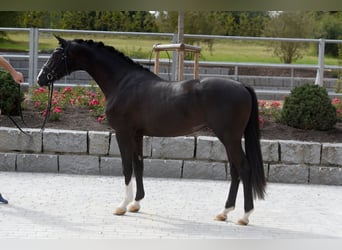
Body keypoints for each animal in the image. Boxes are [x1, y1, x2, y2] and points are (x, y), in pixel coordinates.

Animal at [38, 35, 268, 225]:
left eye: (57, 55)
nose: (41, 78)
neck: (122, 83)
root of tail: (242, 86)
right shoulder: (137, 134)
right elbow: (139, 165)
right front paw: (136, 204)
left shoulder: (123, 133)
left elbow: (127, 167)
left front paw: (122, 206)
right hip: (229, 140)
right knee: (235, 171)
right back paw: (224, 212)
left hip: (229, 138)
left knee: (243, 169)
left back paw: (244, 216)